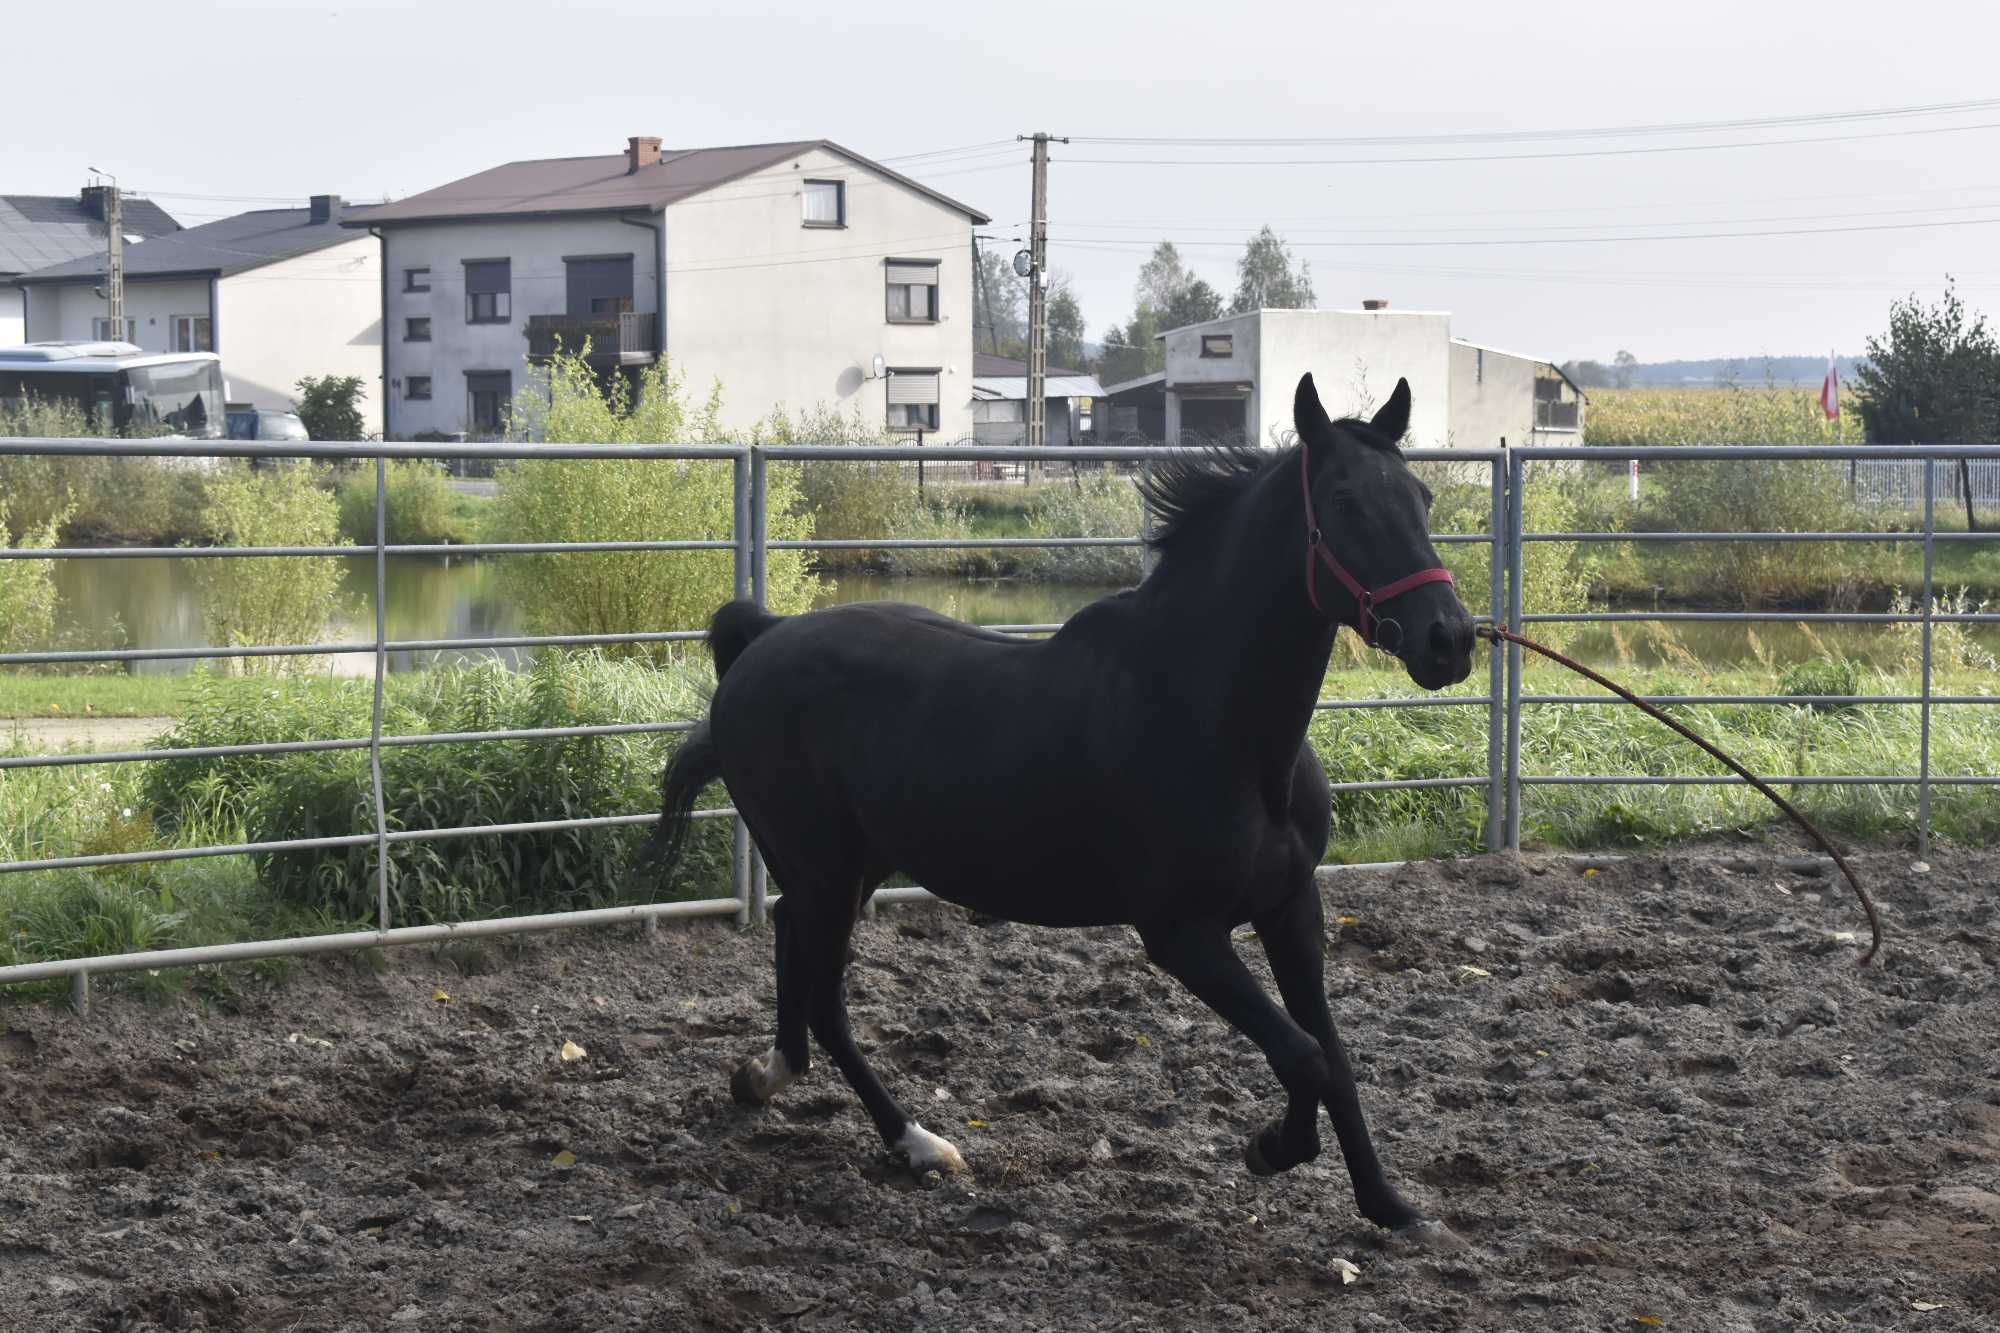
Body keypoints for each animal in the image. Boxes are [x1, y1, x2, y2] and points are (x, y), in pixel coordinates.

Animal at [648, 370, 1480, 1232]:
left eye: (1420, 496)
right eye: (1346, 502)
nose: (1449, 639)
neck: (1214, 718)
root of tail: (762, 640)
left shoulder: (1292, 910)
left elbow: (1334, 1055)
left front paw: (1389, 1205)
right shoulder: (1183, 934)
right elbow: (1305, 1055)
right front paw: (1270, 1147)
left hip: (848, 866)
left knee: (790, 945)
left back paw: (769, 1075)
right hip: (825, 870)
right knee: (826, 1000)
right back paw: (916, 1141)